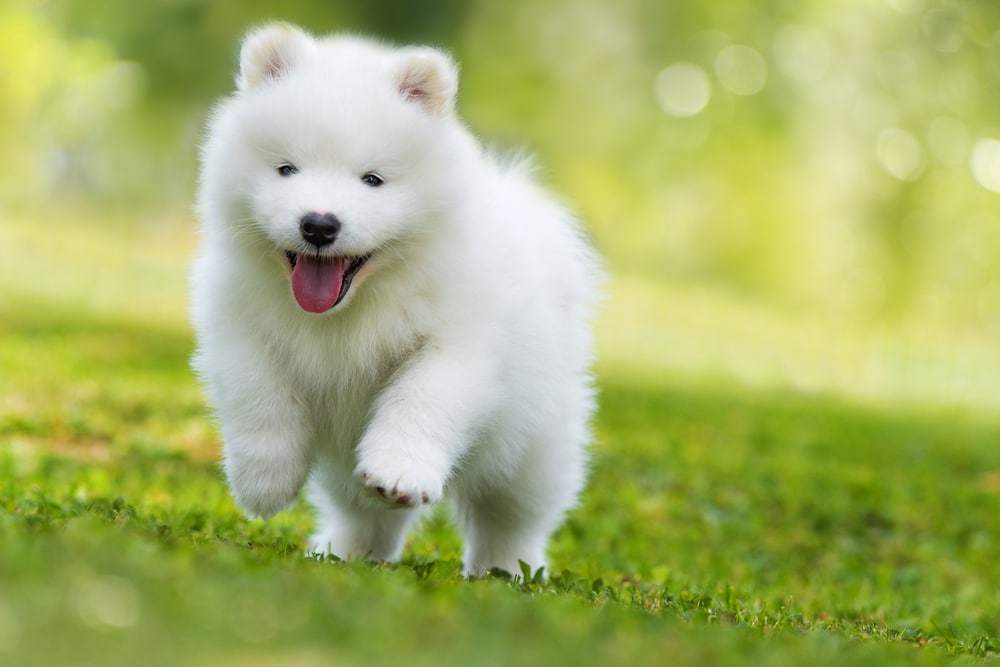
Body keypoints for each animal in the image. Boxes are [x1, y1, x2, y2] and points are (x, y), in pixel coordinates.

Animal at [194, 20, 600, 576]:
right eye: (286, 169)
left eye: (373, 180)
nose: (318, 224)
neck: (351, 309)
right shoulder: (235, 319)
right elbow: (258, 392)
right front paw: (264, 482)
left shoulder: (460, 342)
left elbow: (422, 397)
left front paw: (399, 471)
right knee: (365, 514)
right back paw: (346, 552)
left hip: (534, 443)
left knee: (513, 514)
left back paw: (506, 570)